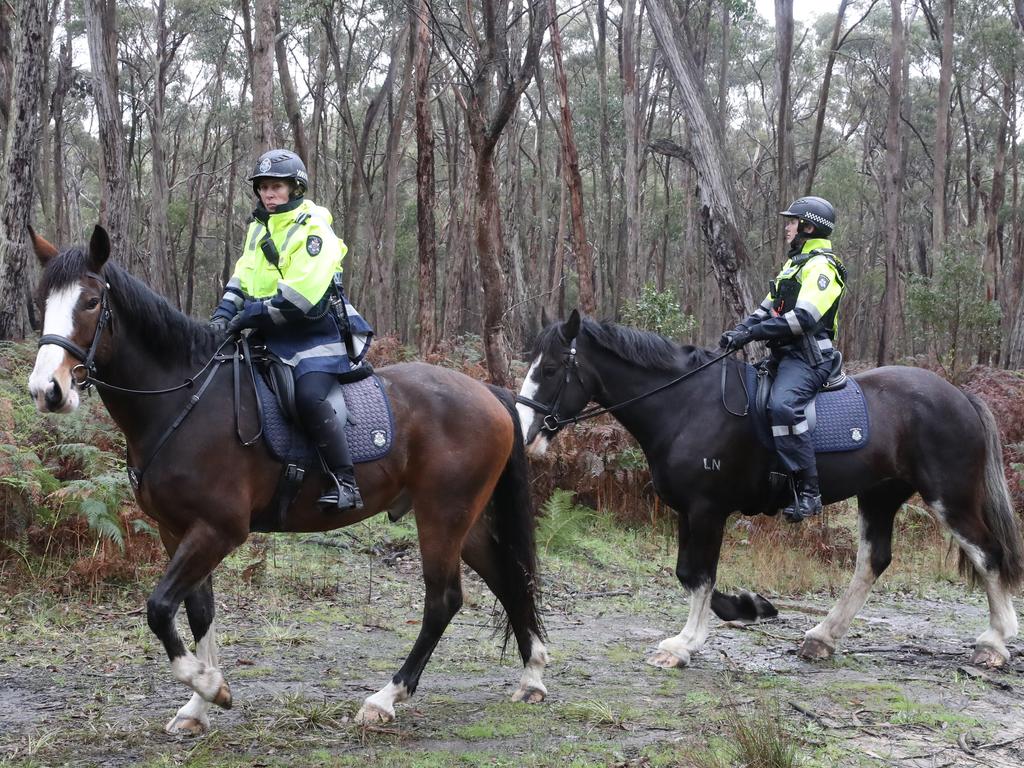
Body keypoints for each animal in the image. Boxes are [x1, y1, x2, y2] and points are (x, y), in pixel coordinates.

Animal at [28, 227, 548, 733]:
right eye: (41, 301)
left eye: (90, 302)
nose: (46, 391)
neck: (184, 399)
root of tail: (487, 391)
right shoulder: (176, 530)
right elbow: (198, 613)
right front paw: (199, 705)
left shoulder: (218, 530)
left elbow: (159, 609)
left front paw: (210, 686)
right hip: (464, 520)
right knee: (508, 579)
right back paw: (532, 676)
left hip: (442, 516)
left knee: (444, 600)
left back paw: (386, 698)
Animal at [520, 313, 1024, 671]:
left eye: (552, 368)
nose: (526, 435)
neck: (686, 406)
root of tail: (959, 395)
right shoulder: (688, 510)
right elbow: (689, 574)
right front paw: (748, 607)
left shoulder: (707, 509)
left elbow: (698, 576)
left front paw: (684, 645)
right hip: (879, 497)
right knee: (873, 561)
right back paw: (822, 637)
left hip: (949, 497)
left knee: (987, 554)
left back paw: (995, 643)